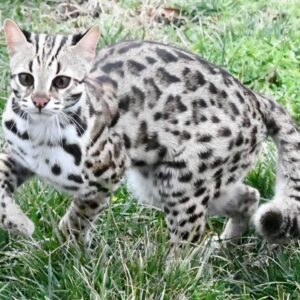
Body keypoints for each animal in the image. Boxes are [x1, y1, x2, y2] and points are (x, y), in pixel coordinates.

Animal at [1, 19, 298, 248]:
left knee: (188, 242)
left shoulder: (108, 172)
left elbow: (79, 215)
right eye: (26, 78)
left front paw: (68, 247)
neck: (41, 133)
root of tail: (255, 98)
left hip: (182, 183)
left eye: (61, 81)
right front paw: (20, 224)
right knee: (249, 195)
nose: (39, 102)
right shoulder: (14, 155)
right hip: (161, 184)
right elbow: (3, 198)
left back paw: (173, 276)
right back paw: (225, 245)